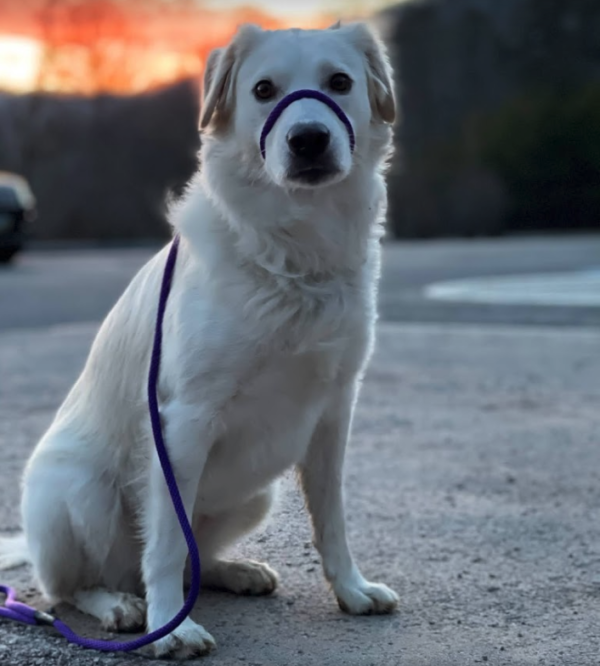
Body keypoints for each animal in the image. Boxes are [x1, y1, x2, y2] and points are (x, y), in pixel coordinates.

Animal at [2, 22, 400, 660]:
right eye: (263, 90)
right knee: (74, 587)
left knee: (196, 562)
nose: (309, 140)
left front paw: (351, 589)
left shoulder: (334, 411)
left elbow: (331, 519)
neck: (294, 254)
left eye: (340, 82)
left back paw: (235, 571)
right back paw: (121, 606)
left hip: (259, 494)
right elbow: (166, 540)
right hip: (78, 489)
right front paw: (171, 627)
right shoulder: (183, 421)